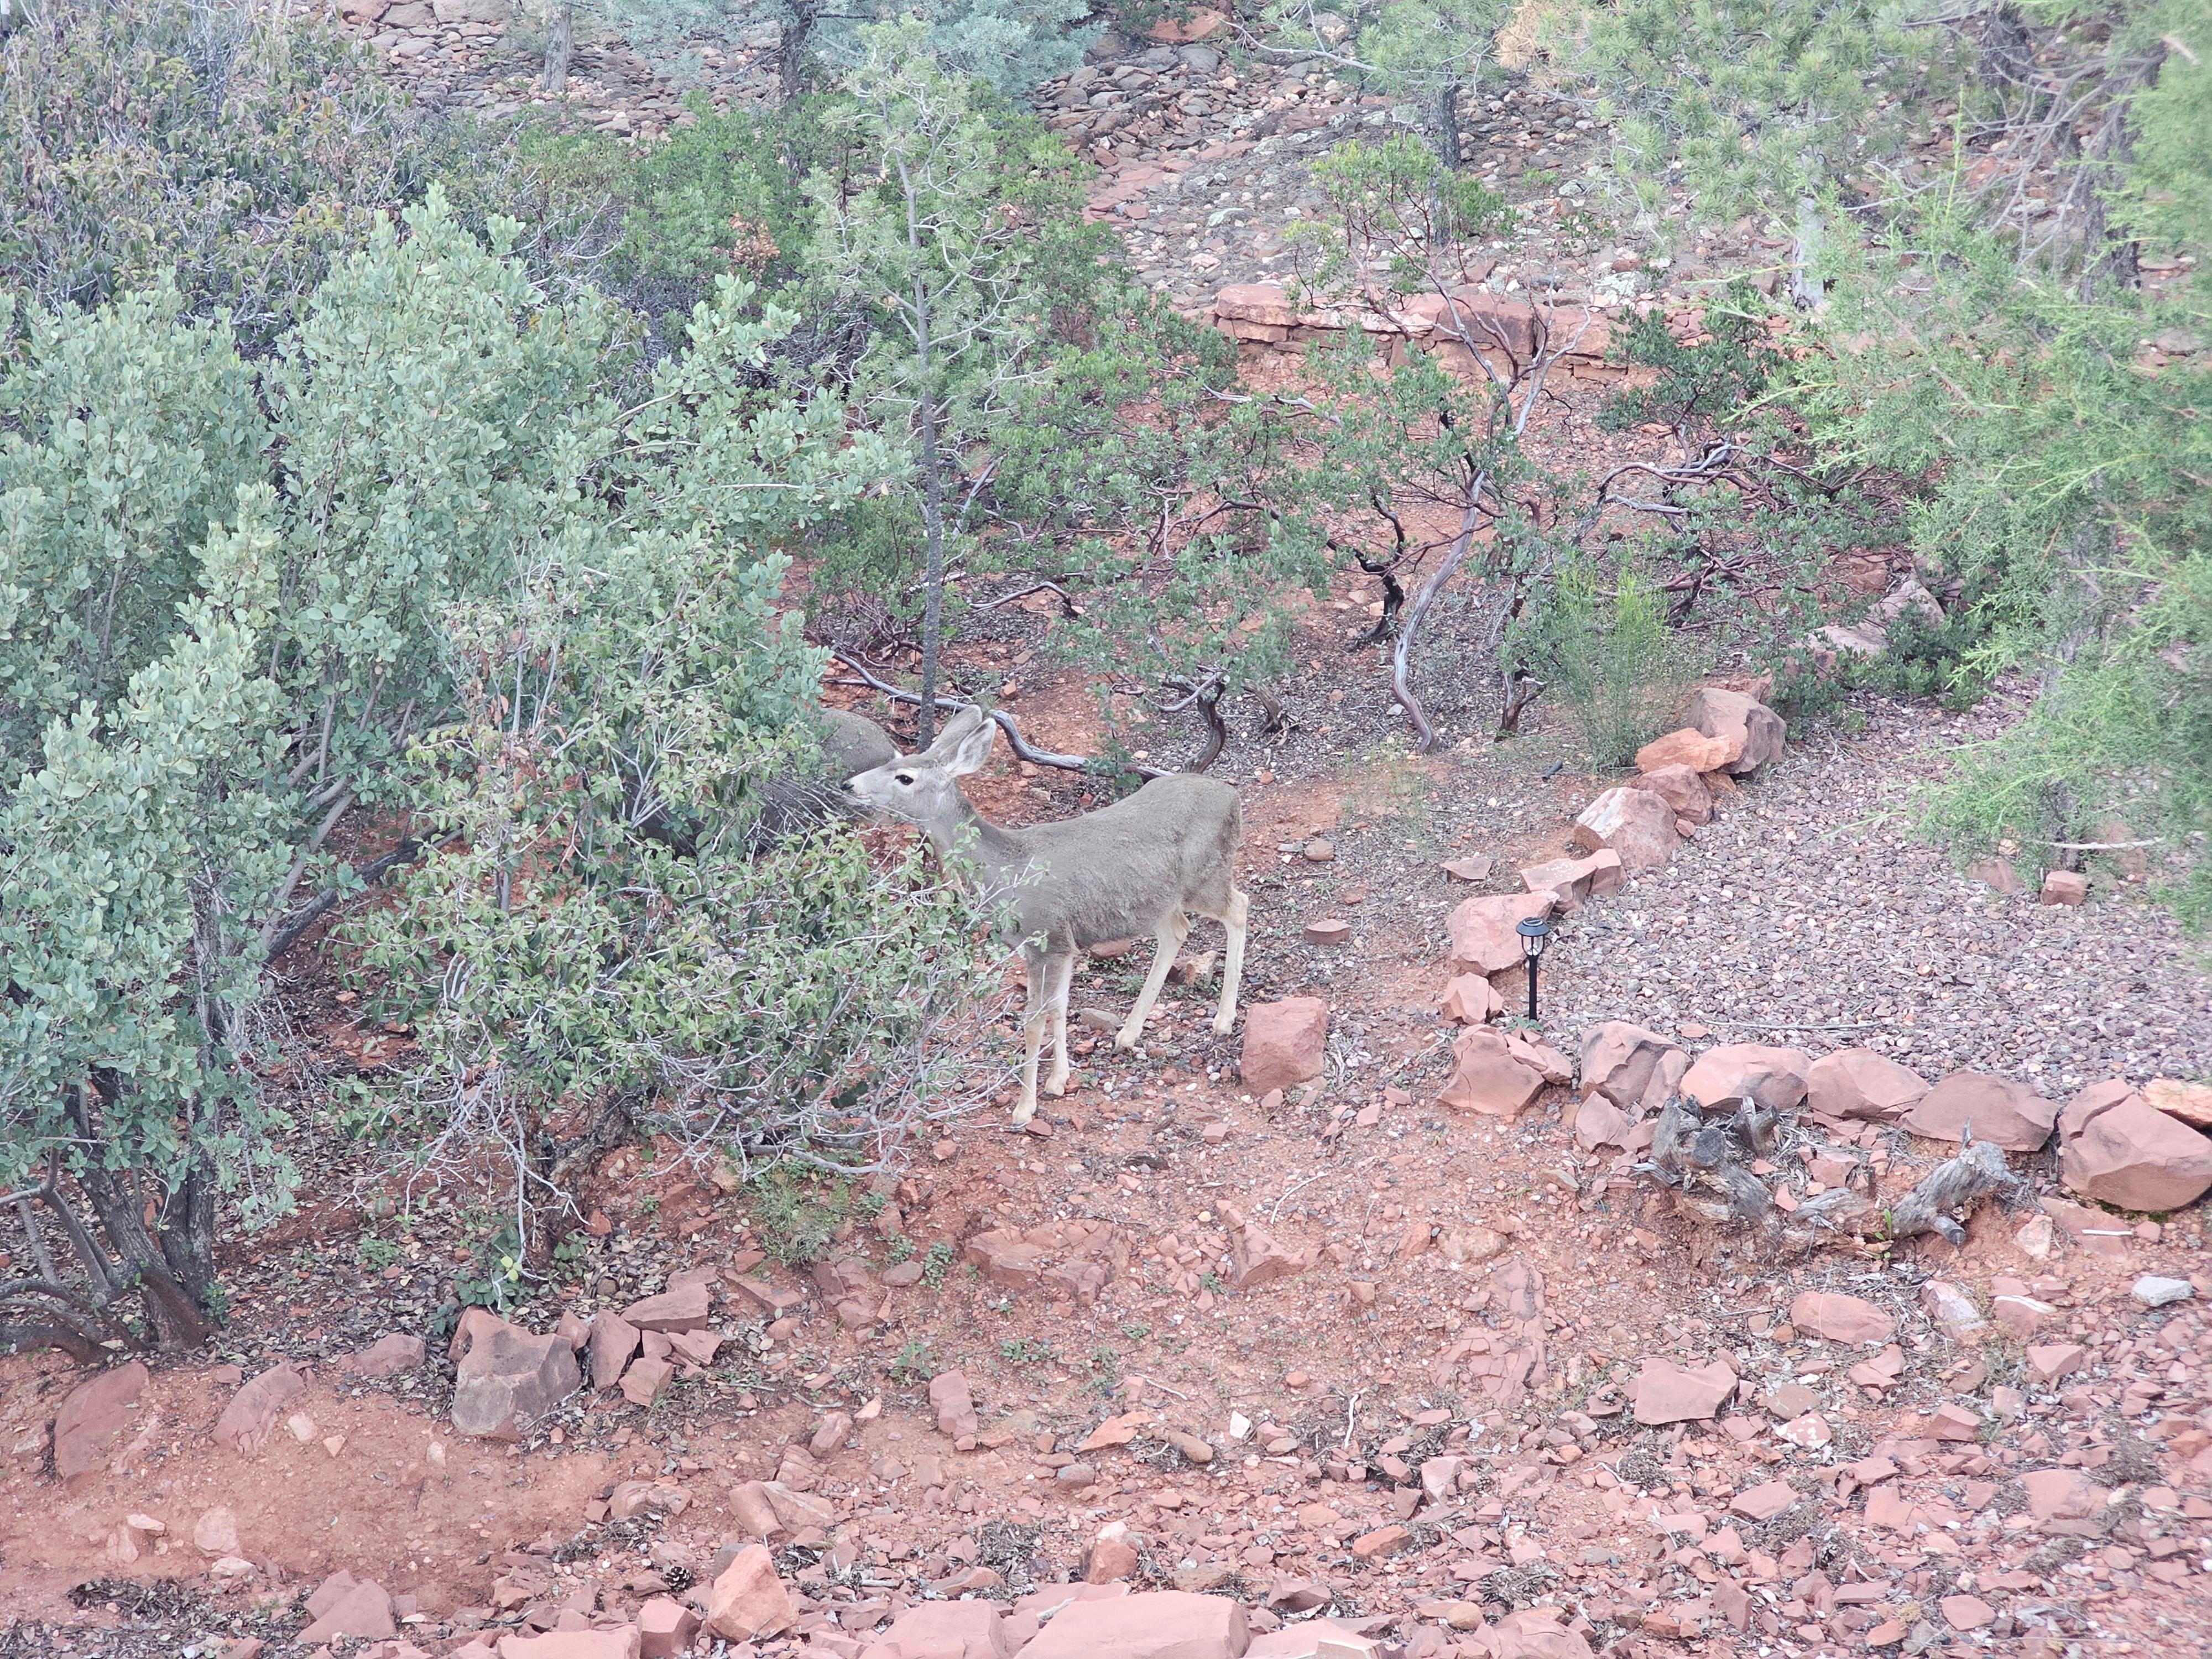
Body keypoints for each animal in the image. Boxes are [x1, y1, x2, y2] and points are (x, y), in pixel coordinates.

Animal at [844, 704, 1248, 1126]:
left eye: (905, 777)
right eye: (893, 760)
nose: (849, 784)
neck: (1005, 871)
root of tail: (1232, 795)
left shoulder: (1045, 938)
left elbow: (1033, 1020)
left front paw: (1025, 1107)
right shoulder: (1061, 946)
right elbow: (1060, 1006)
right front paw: (1059, 1080)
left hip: (1207, 876)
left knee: (1239, 907)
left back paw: (1223, 1020)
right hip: (1159, 900)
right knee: (1177, 931)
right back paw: (1128, 1034)